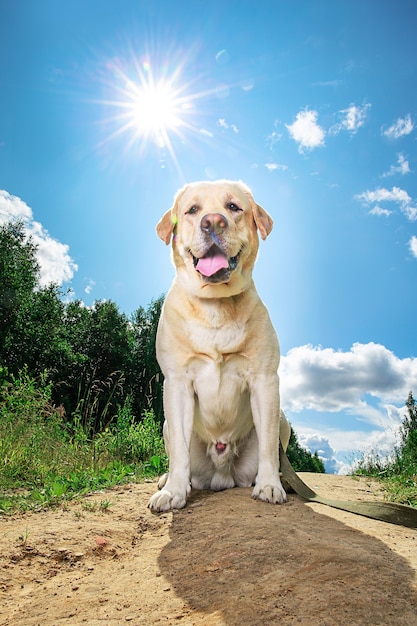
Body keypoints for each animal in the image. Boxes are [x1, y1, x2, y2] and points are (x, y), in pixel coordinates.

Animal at [149, 178, 290, 510]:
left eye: (233, 207)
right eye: (192, 210)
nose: (213, 221)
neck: (215, 306)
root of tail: (222, 475)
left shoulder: (265, 381)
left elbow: (268, 447)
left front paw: (269, 485)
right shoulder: (176, 383)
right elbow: (179, 453)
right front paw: (173, 491)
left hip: (283, 419)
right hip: (166, 425)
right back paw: (168, 480)